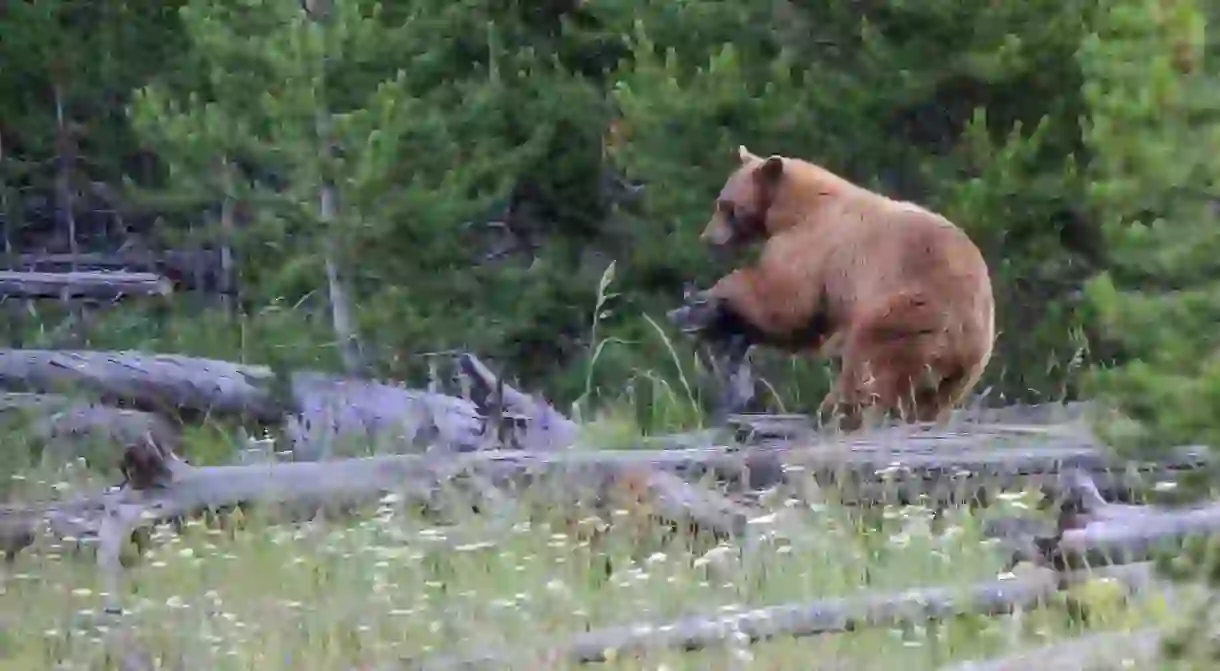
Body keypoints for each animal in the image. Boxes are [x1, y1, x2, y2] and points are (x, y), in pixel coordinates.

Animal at [673, 146, 995, 431]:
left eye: (727, 205)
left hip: (908, 313)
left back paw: (836, 411)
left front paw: (711, 301)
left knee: (869, 364)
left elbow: (787, 299)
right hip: (964, 365)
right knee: (931, 395)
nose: (707, 238)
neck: (791, 208)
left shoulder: (815, 244)